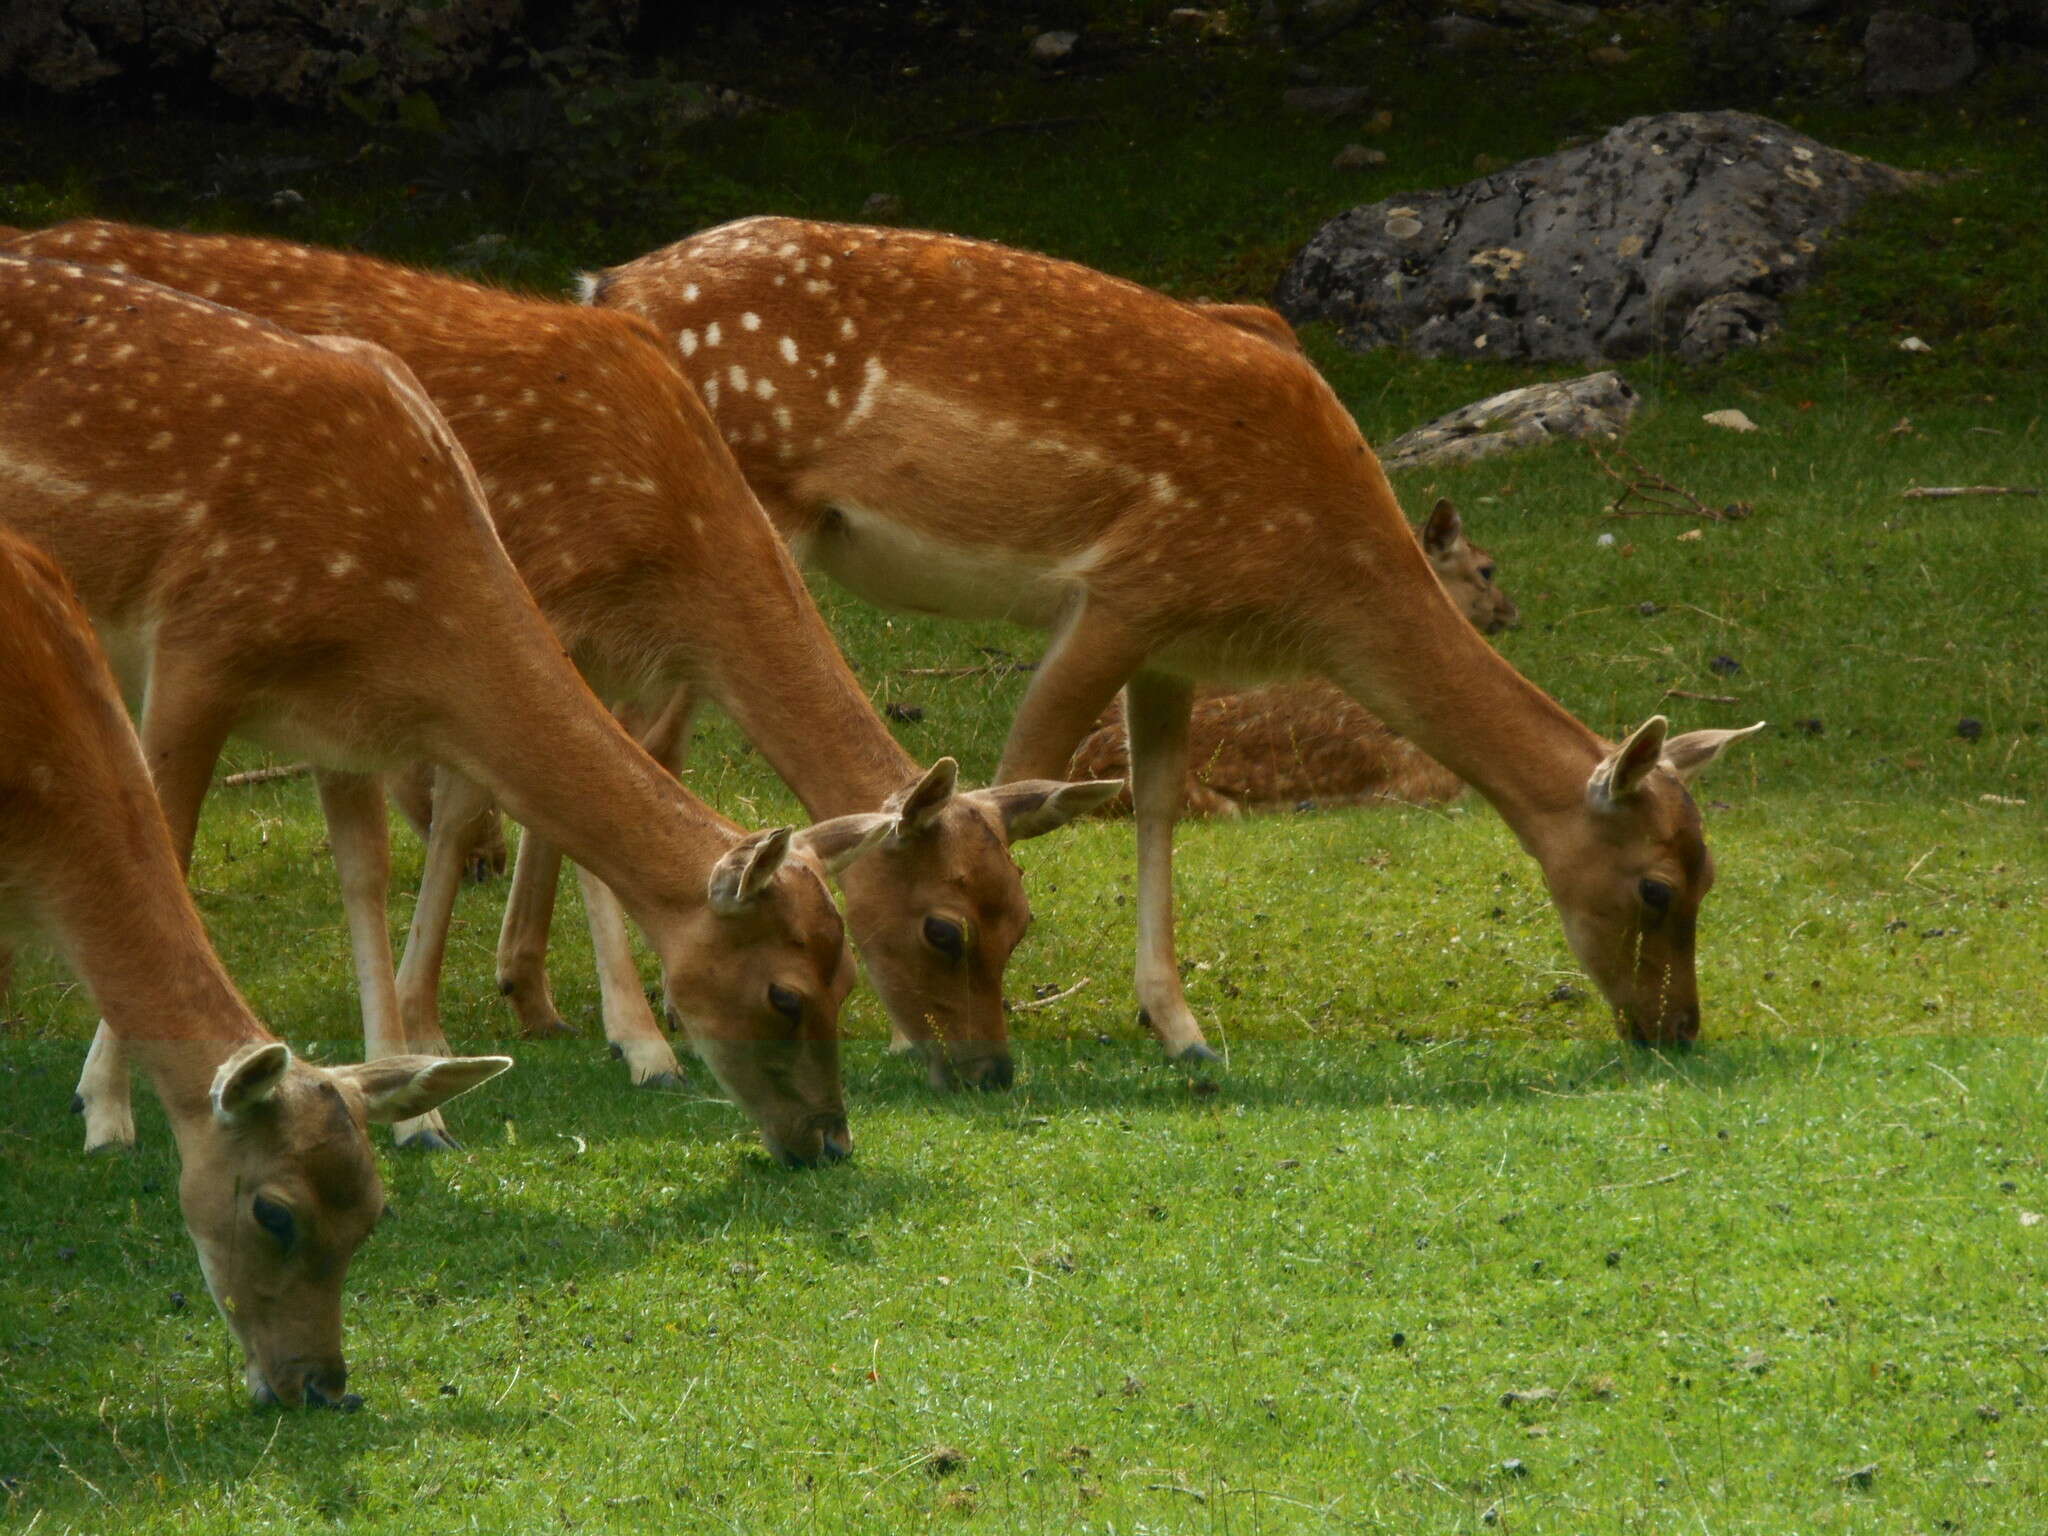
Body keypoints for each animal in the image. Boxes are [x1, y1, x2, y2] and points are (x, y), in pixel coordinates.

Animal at [0, 222, 1122, 1097]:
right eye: (944, 930)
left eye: (1021, 921)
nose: (989, 1069)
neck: (673, 542)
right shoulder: (534, 609)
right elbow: (484, 811)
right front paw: (618, 1037)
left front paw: (536, 999)